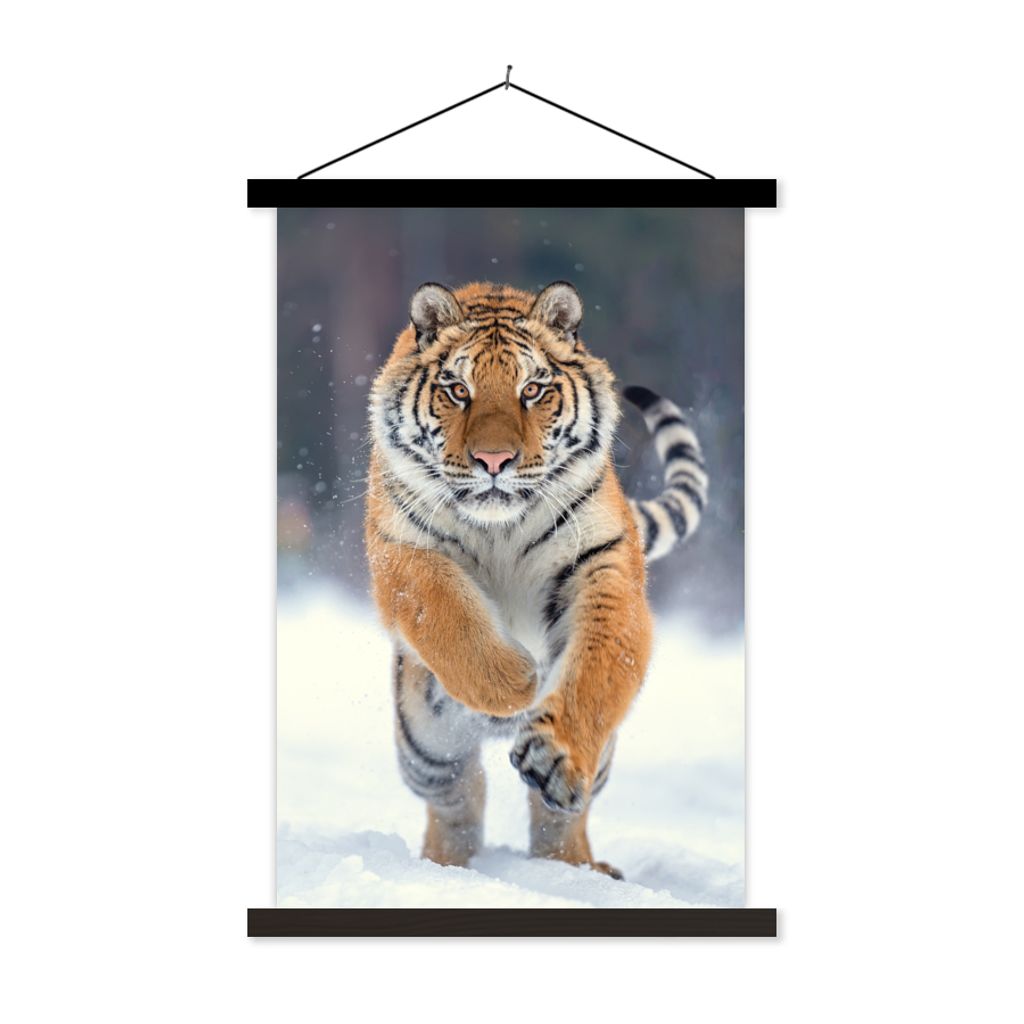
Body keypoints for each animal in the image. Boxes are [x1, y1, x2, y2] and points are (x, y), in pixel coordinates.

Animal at [364, 280, 708, 879]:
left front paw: (555, 754)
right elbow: (446, 614)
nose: (493, 460)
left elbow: (598, 667)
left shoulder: (602, 563)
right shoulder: (402, 550)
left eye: (532, 389)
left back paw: (576, 868)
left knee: (558, 816)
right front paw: (515, 682)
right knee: (459, 796)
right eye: (457, 389)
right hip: (425, 746)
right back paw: (445, 866)